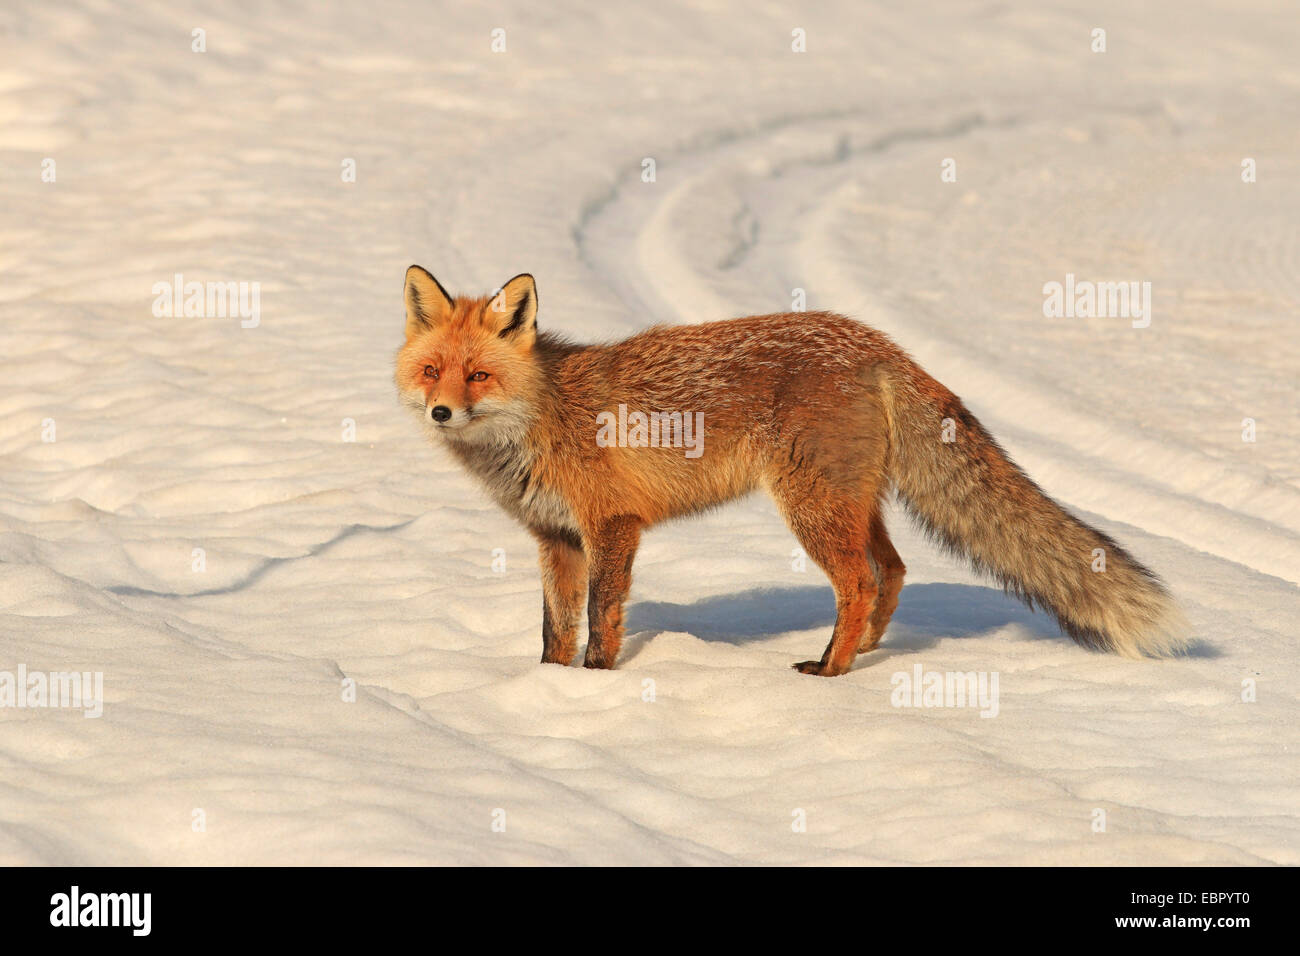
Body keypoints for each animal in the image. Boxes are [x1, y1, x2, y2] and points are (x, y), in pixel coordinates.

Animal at [395, 265, 1190, 676]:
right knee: (892, 571)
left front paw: (597, 683)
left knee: (861, 581)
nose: (440, 412)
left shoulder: (612, 527)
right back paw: (863, 653)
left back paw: (831, 670)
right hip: (849, 504)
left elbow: (600, 619)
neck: (544, 416)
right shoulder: (555, 538)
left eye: (479, 375)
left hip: (810, 507)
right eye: (433, 370)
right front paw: (549, 686)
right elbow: (553, 630)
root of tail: (878, 343)